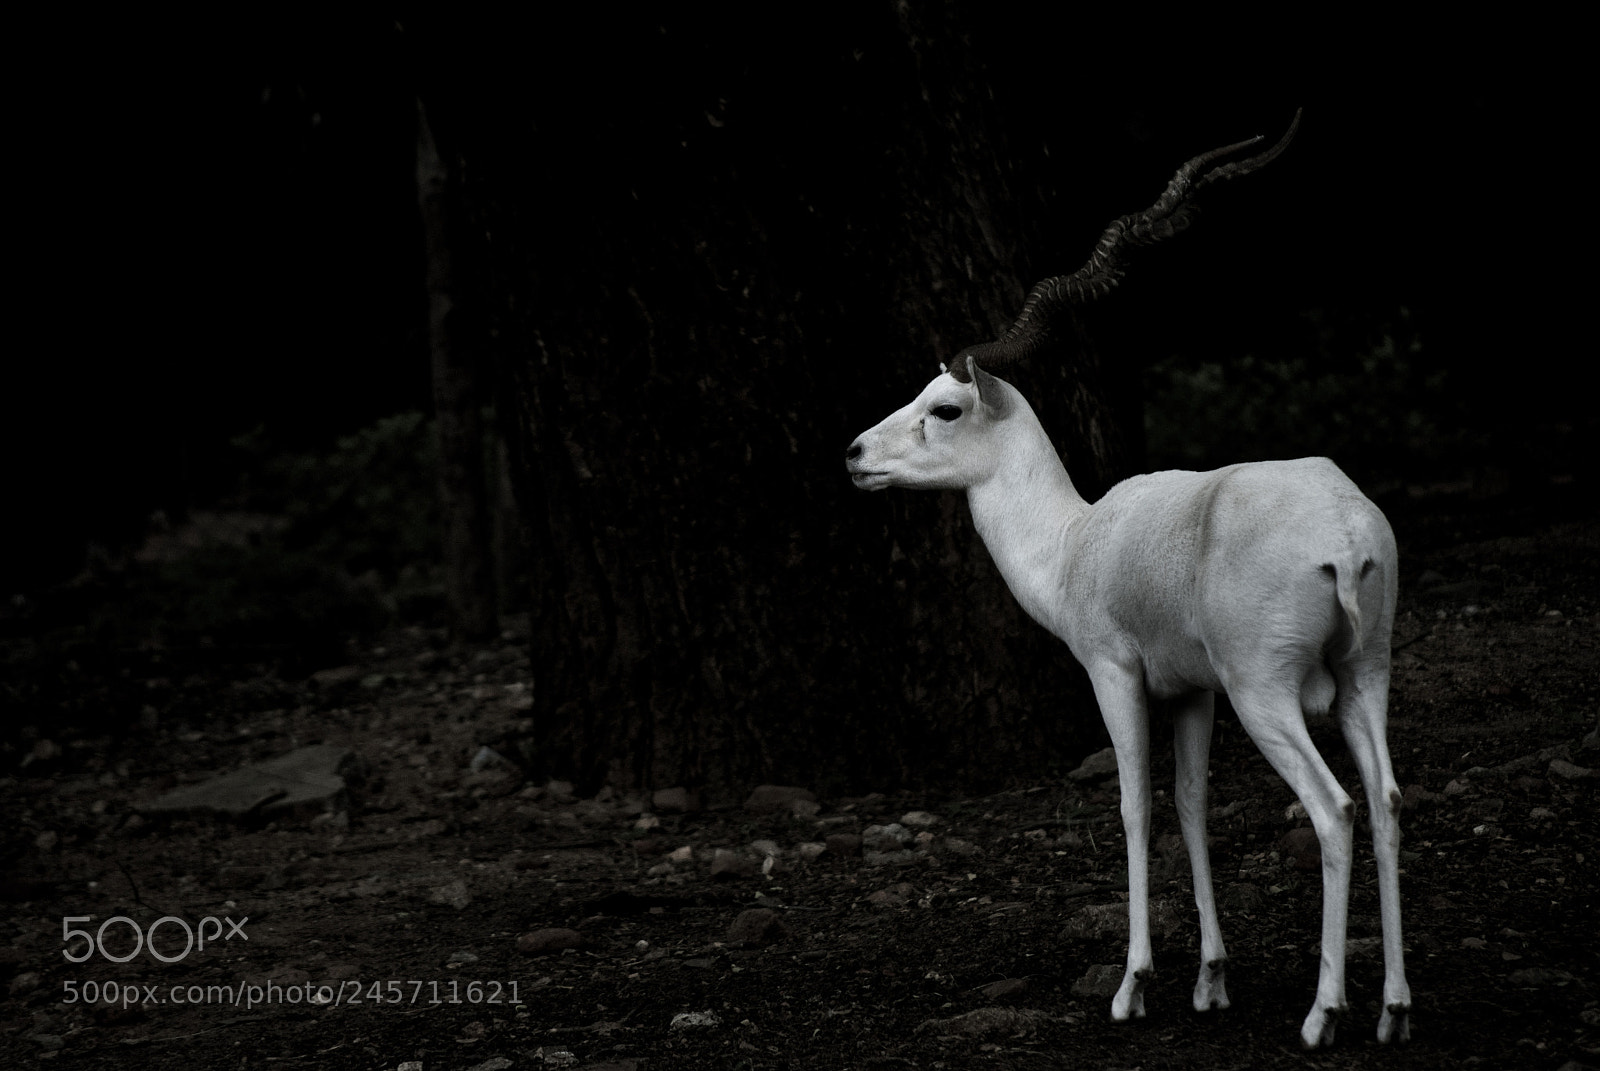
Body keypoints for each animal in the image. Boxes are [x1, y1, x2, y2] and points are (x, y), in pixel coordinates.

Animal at [845, 112, 1411, 1049]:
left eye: (945, 408)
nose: (854, 454)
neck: (1077, 542)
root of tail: (1343, 530)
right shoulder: (1191, 691)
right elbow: (1189, 804)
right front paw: (1211, 979)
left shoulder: (1114, 672)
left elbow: (1133, 806)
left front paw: (1133, 984)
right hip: (1365, 676)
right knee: (1389, 799)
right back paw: (1395, 1009)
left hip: (1268, 692)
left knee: (1334, 807)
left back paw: (1322, 1013)